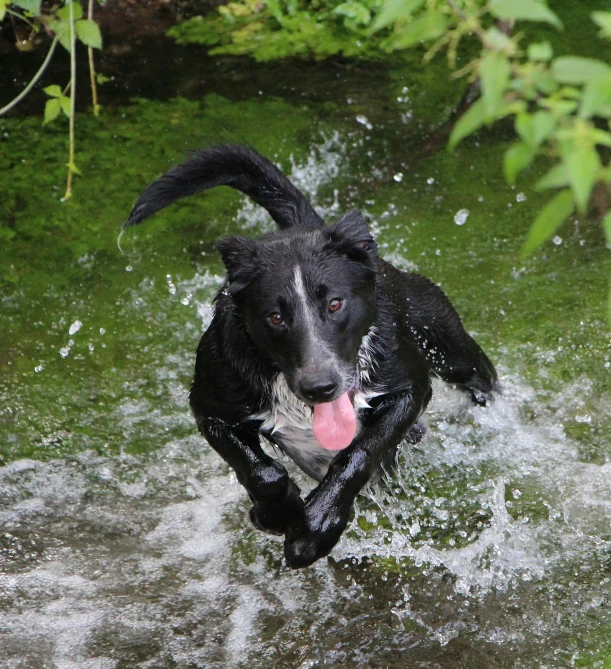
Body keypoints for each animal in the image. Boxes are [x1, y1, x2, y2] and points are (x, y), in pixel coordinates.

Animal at [124, 145, 498, 568]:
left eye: (335, 303)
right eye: (275, 316)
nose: (320, 387)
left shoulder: (409, 390)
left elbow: (361, 451)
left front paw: (318, 525)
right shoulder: (210, 409)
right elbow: (260, 471)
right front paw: (278, 512)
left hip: (448, 343)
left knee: (478, 377)